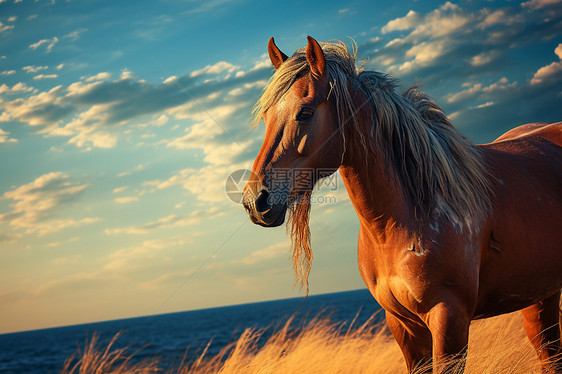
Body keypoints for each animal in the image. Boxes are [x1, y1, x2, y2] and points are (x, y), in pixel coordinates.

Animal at [242, 35, 560, 374]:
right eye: (266, 118)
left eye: (305, 113)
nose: (254, 200)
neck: (401, 222)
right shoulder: (402, 325)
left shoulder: (450, 319)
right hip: (541, 296)